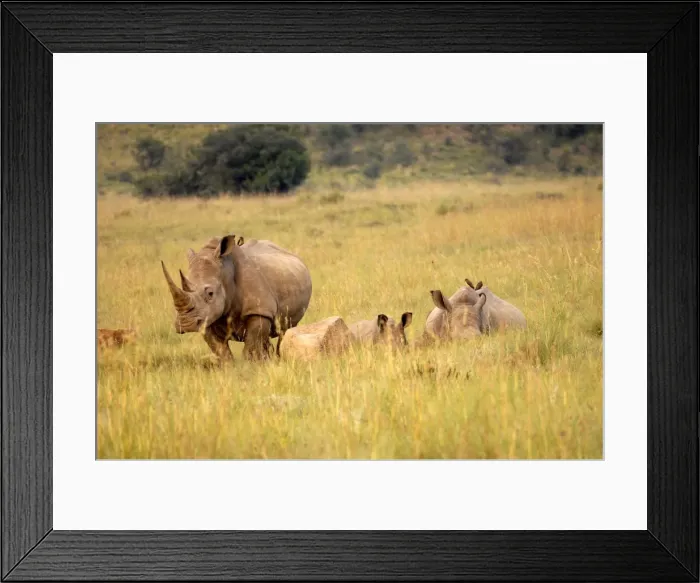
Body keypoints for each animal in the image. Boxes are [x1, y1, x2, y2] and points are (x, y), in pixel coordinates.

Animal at [161, 234, 312, 361]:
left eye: (210, 293)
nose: (186, 324)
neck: (225, 273)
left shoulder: (258, 310)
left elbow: (251, 347)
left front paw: (249, 368)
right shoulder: (207, 316)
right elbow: (221, 350)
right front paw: (230, 368)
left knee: (286, 330)